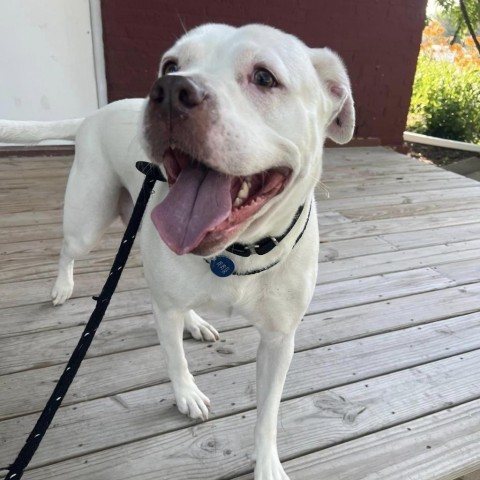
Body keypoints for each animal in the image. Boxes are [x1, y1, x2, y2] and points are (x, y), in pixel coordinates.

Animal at [0, 23, 352, 480]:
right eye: (170, 65)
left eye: (264, 77)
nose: (168, 89)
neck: (235, 255)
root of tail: (94, 114)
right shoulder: (164, 309)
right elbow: (174, 358)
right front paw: (187, 394)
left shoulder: (279, 341)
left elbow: (268, 414)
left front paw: (268, 463)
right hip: (87, 220)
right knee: (67, 248)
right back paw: (62, 286)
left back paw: (196, 321)